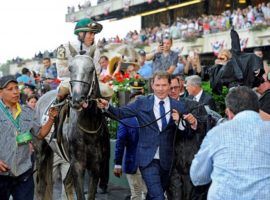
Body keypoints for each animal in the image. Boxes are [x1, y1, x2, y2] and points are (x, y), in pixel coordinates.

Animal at [35, 54, 110, 200]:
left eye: (91, 69)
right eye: (70, 68)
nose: (77, 99)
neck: (89, 127)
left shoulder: (95, 166)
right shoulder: (78, 165)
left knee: (66, 182)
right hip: (40, 152)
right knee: (40, 185)